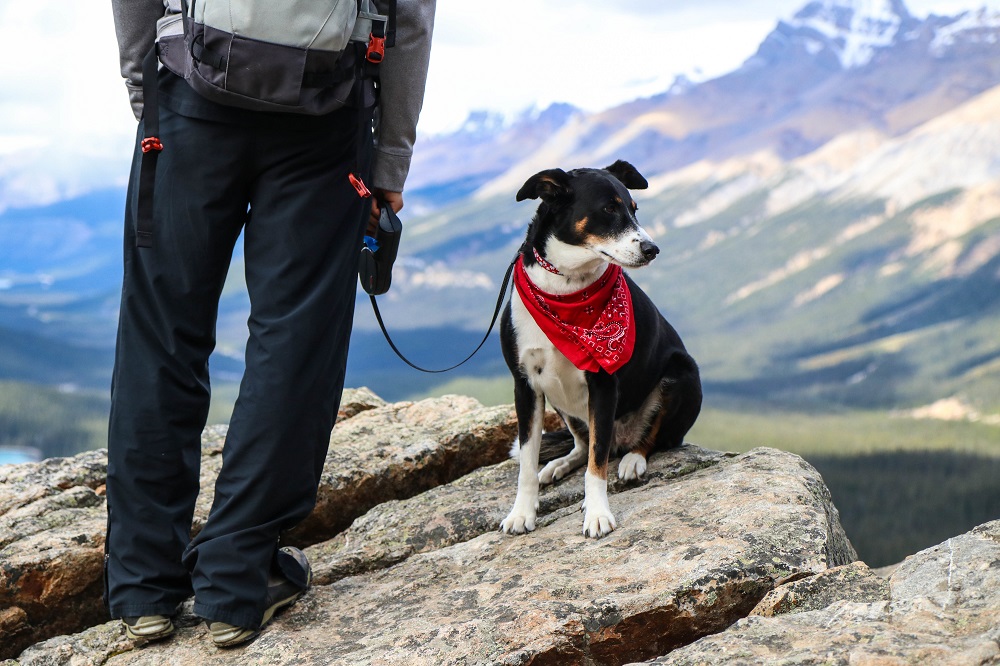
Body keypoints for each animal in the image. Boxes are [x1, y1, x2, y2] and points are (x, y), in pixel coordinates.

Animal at [500, 161, 704, 540]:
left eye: (635, 209)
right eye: (609, 209)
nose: (652, 248)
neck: (565, 290)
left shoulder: (603, 384)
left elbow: (597, 466)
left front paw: (596, 514)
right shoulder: (526, 386)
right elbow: (527, 462)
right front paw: (522, 512)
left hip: (682, 373)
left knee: (648, 439)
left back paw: (633, 459)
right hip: (561, 401)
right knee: (582, 445)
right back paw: (558, 464)